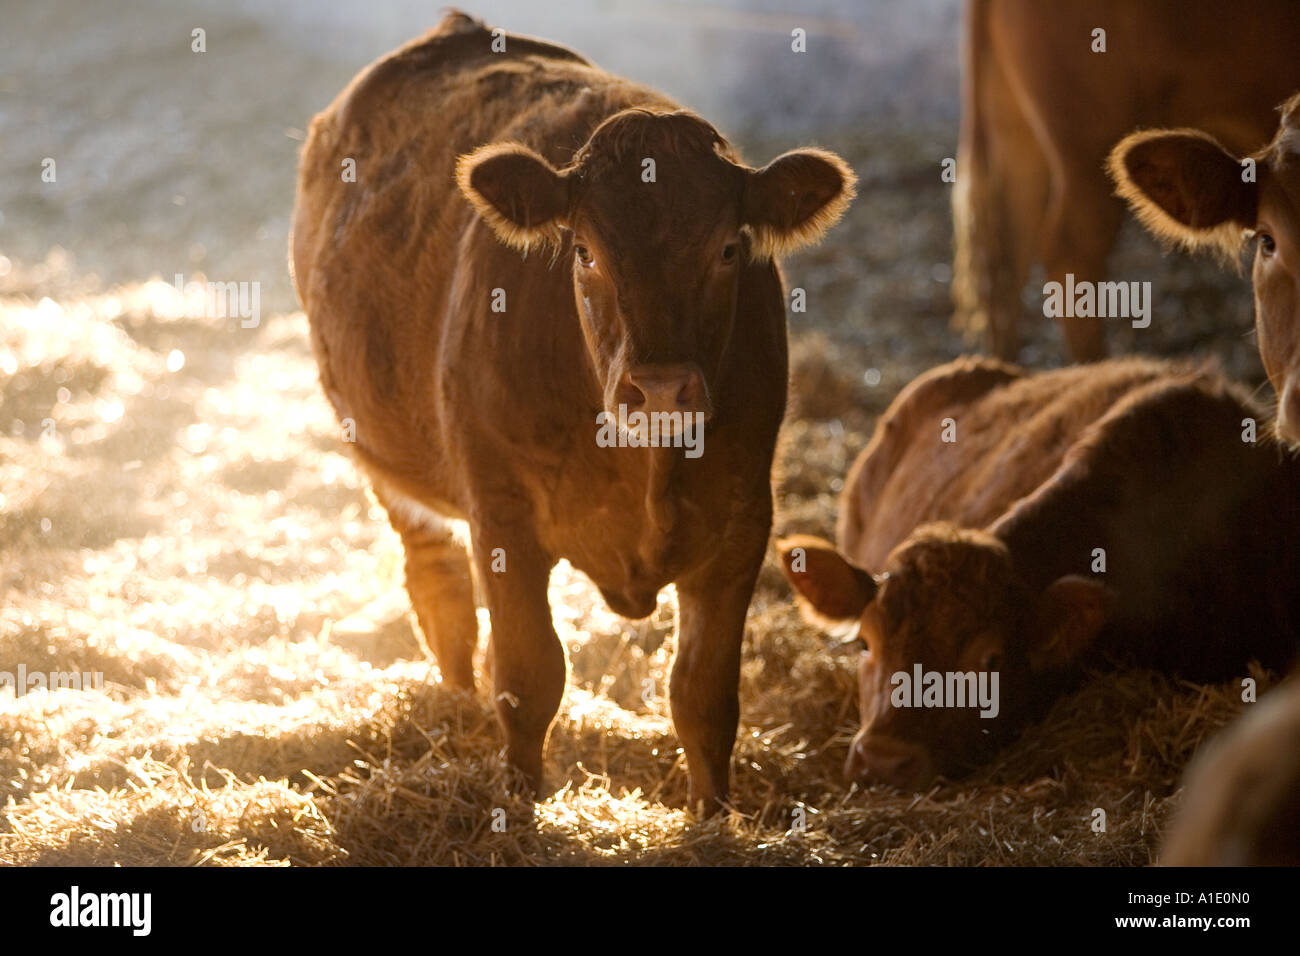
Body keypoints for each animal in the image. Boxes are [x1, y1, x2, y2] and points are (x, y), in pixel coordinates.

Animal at [289, 11, 855, 813]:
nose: (660, 388)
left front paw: (713, 815)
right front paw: (519, 800)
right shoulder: (502, 515)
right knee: (439, 590)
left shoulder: (743, 522)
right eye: (584, 251)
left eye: (727, 248)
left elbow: (703, 697)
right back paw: (457, 705)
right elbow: (530, 678)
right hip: (383, 458)